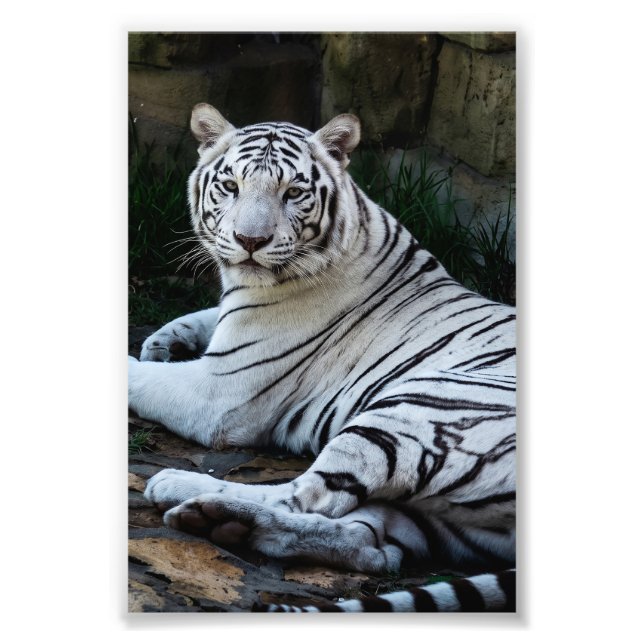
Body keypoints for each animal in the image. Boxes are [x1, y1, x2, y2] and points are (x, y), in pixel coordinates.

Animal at [128, 103, 517, 612]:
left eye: (293, 192)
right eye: (230, 186)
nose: (249, 241)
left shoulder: (217, 392)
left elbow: (136, 376)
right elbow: (203, 316)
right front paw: (164, 342)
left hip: (413, 410)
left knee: (306, 496)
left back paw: (184, 491)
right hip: (453, 522)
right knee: (372, 545)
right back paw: (226, 523)